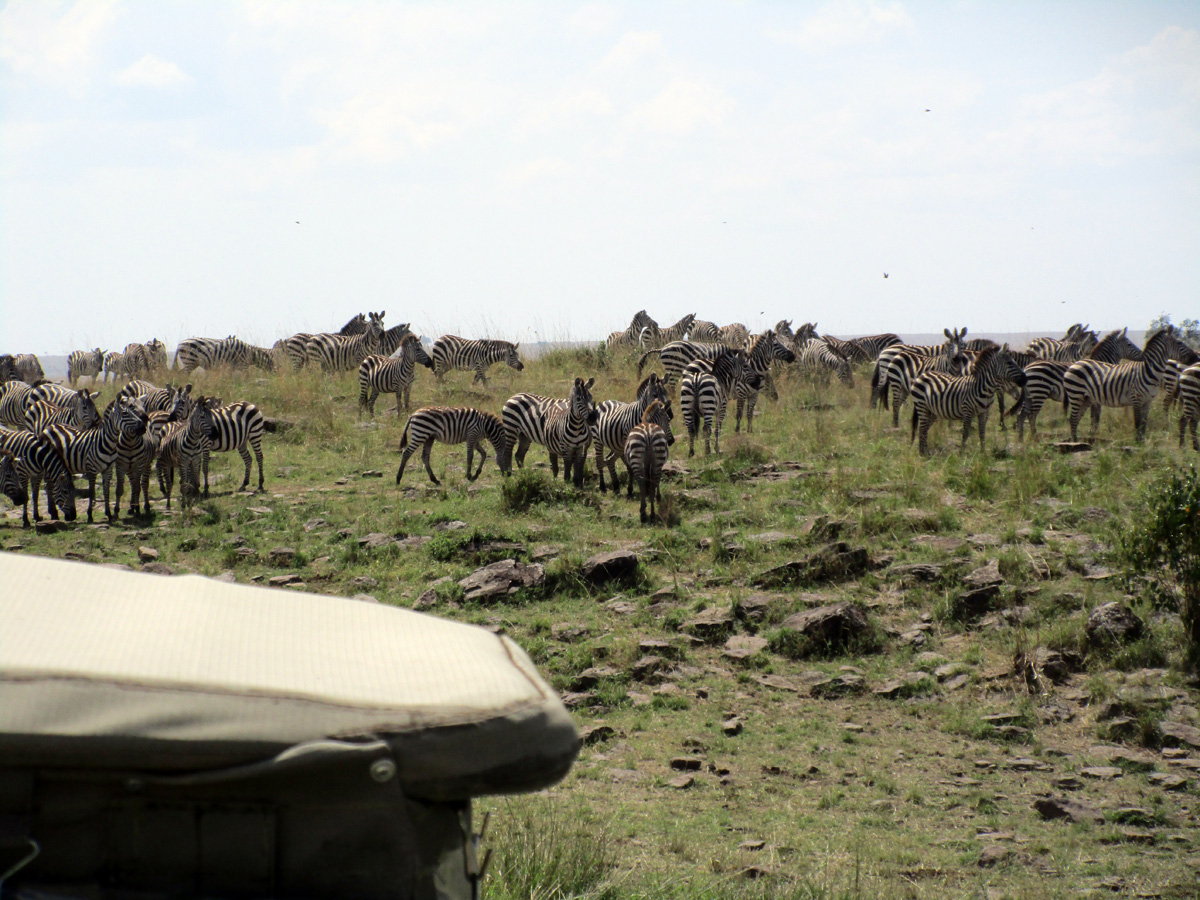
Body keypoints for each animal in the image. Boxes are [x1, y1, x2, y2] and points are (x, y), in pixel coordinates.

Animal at [43, 394, 148, 523]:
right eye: (125, 413)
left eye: (132, 412)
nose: (143, 428)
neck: (107, 443)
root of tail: (51, 426)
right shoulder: (92, 470)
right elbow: (92, 492)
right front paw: (90, 515)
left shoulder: (108, 470)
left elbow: (106, 491)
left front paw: (109, 514)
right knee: (49, 487)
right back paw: (53, 514)